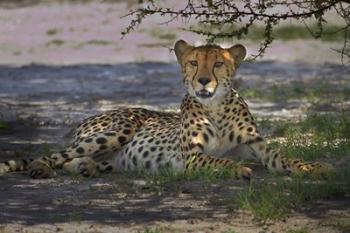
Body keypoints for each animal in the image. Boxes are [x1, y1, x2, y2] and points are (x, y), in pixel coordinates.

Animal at [0, 40, 334, 179]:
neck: (215, 107)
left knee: (77, 161)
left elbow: (286, 158)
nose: (203, 80)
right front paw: (238, 169)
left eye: (218, 63)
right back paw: (40, 168)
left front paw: (316, 167)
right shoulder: (193, 157)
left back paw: (87, 169)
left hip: (117, 159)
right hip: (118, 130)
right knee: (54, 155)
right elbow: (221, 160)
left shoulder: (259, 147)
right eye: (193, 62)